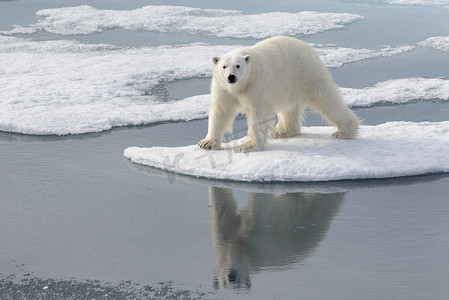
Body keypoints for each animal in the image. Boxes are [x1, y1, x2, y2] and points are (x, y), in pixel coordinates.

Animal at [198, 36, 358, 152]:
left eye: (238, 66)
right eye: (224, 66)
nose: (231, 77)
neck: (240, 86)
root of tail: (308, 48)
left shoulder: (257, 83)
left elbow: (258, 113)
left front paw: (246, 146)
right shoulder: (222, 87)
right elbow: (221, 111)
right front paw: (207, 143)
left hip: (307, 72)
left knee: (326, 99)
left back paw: (345, 132)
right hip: (289, 86)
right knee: (290, 108)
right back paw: (283, 132)